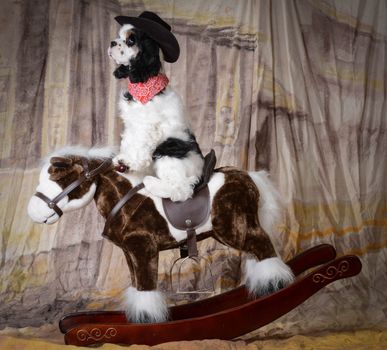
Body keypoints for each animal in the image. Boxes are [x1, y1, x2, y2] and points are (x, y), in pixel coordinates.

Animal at [107, 11, 205, 202]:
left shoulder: (147, 126)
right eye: (119, 36)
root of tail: (200, 176)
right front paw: (123, 160)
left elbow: (139, 146)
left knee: (181, 189)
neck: (144, 85)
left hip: (168, 152)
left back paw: (150, 183)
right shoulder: (132, 124)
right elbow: (129, 142)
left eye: (131, 40)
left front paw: (129, 162)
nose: (112, 43)